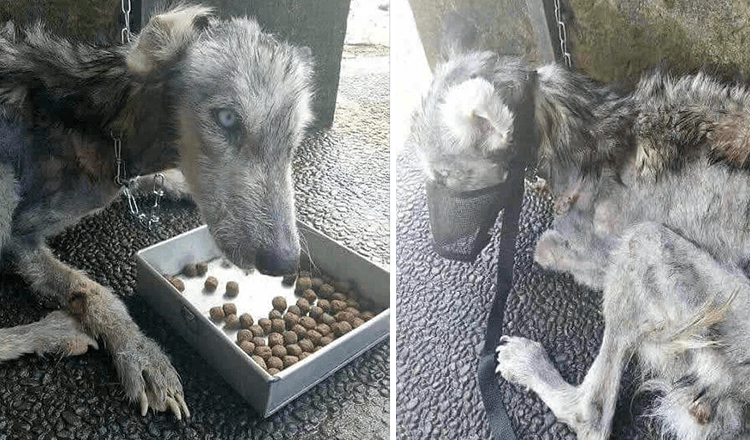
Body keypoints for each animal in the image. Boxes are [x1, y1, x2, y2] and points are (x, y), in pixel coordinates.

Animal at [0, 5, 314, 422]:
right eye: (228, 119)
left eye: (294, 139)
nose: (285, 262)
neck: (107, 125)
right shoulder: (20, 238)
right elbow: (95, 291)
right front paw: (141, 353)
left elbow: (149, 182)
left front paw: (176, 184)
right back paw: (51, 333)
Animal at [414, 18, 750, 440]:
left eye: (443, 178)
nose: (440, 245)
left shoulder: (604, 251)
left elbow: (549, 245)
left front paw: (552, 243)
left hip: (646, 243)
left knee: (590, 413)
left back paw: (530, 365)